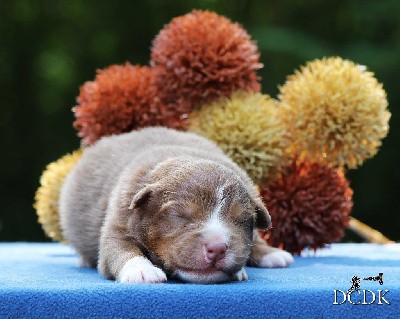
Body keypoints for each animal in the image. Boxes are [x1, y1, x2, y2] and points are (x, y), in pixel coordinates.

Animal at [59, 126, 292, 284]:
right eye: (179, 216)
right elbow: (119, 249)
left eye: (242, 220)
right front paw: (142, 270)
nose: (217, 248)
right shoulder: (120, 220)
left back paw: (272, 254)